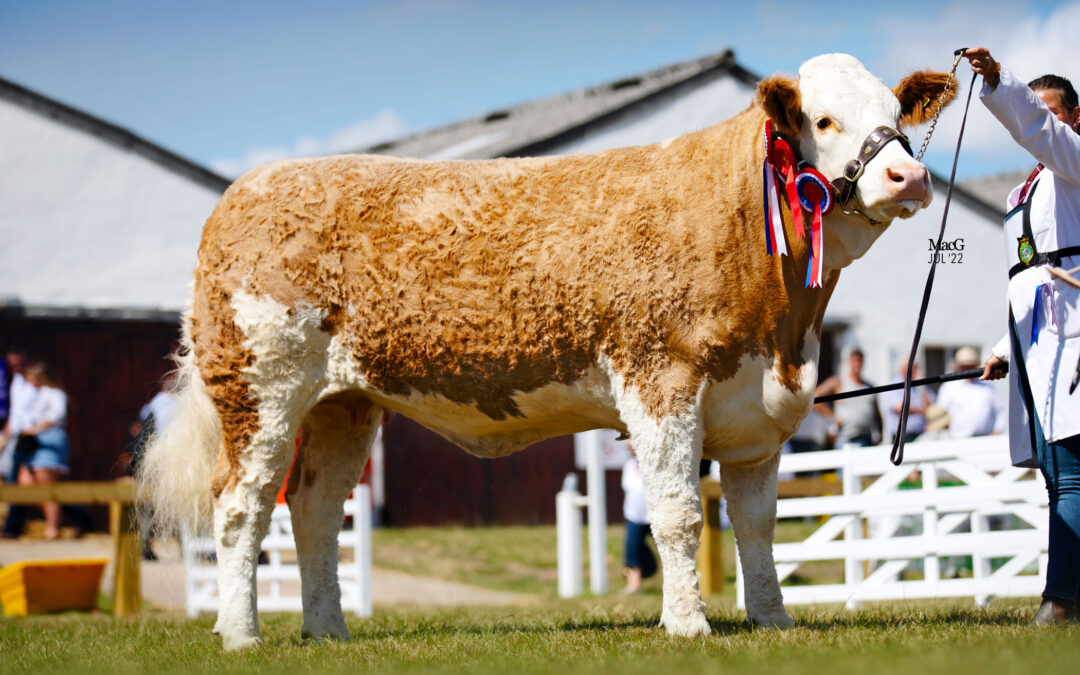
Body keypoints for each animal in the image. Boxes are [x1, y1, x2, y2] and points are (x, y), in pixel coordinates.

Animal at [141, 54, 954, 648]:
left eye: (895, 118)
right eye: (824, 119)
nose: (908, 174)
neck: (782, 326)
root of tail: (251, 184)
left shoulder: (755, 410)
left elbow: (755, 524)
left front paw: (773, 619)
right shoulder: (660, 380)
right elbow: (679, 515)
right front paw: (689, 624)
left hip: (345, 403)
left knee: (313, 508)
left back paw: (328, 630)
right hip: (261, 390)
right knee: (242, 506)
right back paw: (241, 635)